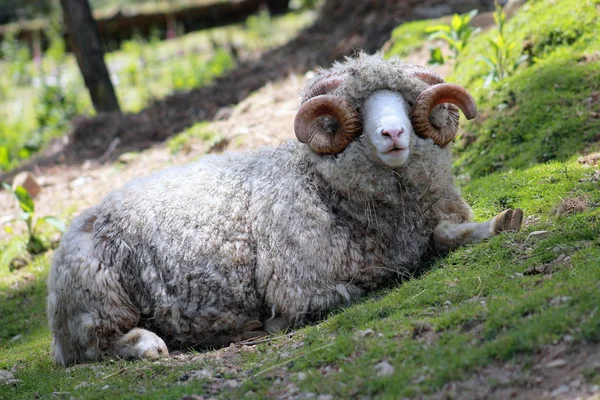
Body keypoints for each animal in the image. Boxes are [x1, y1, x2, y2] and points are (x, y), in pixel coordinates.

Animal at [48, 53, 520, 366]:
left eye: (405, 101)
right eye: (358, 108)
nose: (392, 133)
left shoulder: (431, 218)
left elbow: (450, 233)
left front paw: (502, 221)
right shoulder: (297, 284)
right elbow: (350, 292)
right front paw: (274, 324)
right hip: (100, 302)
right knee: (96, 346)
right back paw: (150, 343)